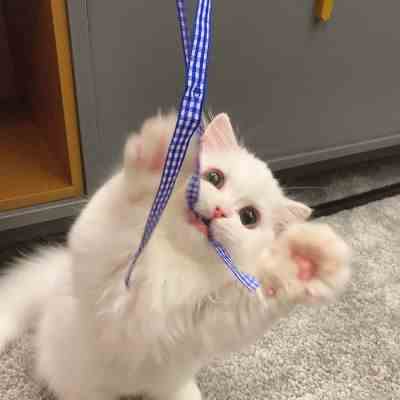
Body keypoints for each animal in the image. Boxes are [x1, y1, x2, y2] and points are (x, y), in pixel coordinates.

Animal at [0, 112, 351, 400]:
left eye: (249, 217)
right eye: (214, 178)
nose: (219, 210)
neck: (175, 256)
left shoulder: (210, 320)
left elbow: (266, 290)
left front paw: (308, 258)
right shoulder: (102, 256)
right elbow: (125, 204)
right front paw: (165, 155)